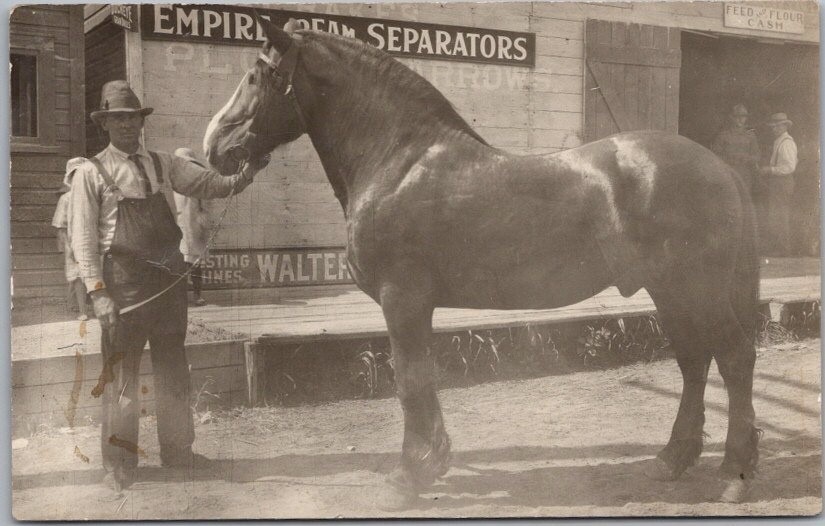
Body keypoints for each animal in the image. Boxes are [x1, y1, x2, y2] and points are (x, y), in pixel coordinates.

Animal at [204, 16, 761, 509]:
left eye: (257, 76)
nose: (215, 146)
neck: (398, 160)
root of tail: (720, 167)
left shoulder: (401, 300)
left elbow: (409, 381)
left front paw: (406, 478)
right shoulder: (416, 306)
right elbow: (424, 378)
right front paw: (433, 464)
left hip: (696, 290)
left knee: (733, 359)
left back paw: (734, 476)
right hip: (670, 291)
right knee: (694, 362)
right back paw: (672, 459)